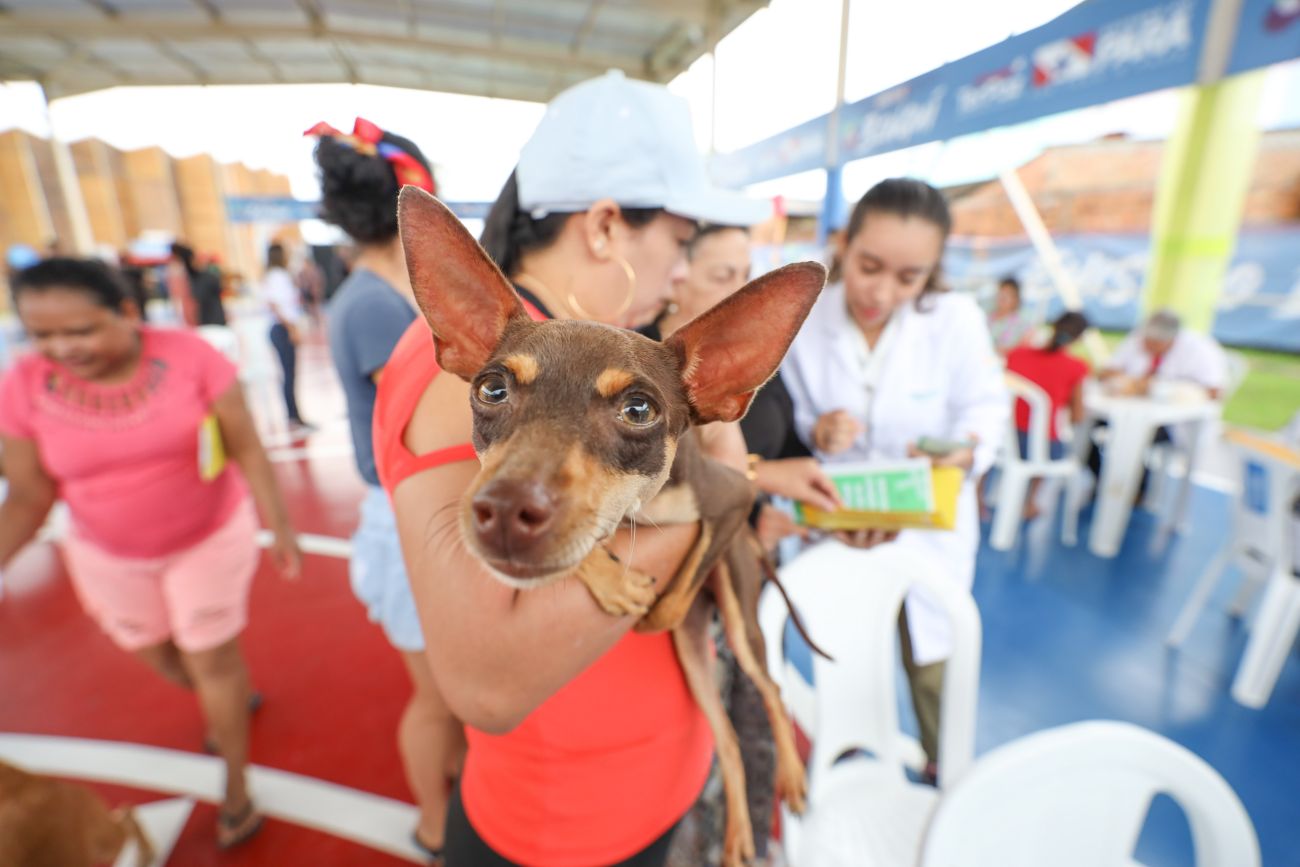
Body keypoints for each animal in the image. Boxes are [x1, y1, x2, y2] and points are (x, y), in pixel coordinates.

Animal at [395, 189, 821, 867]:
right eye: (492, 389)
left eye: (639, 409)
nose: (505, 509)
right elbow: (597, 537)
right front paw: (610, 574)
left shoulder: (733, 497)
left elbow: (670, 596)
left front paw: (642, 600)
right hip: (697, 660)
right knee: (726, 736)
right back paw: (735, 835)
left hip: (737, 615)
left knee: (770, 689)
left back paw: (791, 779)